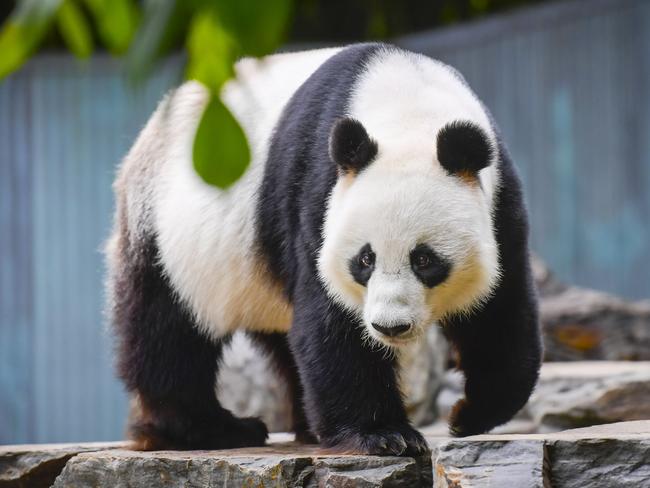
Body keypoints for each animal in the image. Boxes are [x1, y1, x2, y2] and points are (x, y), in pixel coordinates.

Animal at [105, 41, 540, 454]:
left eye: (424, 260)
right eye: (365, 259)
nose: (389, 327)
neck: (408, 109)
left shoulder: (500, 202)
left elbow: (500, 310)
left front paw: (469, 415)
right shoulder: (317, 191)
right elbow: (332, 320)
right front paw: (385, 435)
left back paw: (305, 427)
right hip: (165, 233)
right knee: (168, 332)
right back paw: (211, 428)